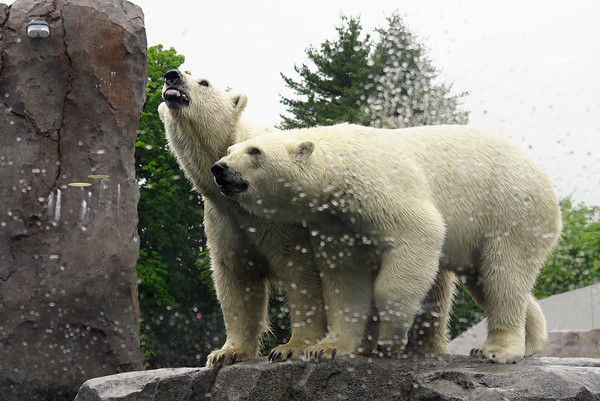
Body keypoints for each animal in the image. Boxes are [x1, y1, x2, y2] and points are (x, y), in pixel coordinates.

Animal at [157, 69, 328, 366]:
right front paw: (227, 352)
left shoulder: (286, 222)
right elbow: (236, 277)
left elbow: (302, 273)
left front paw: (290, 347)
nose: (172, 75)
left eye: (204, 82)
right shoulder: (224, 220)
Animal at [211, 122, 564, 362]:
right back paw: (531, 341)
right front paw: (328, 348)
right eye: (229, 151)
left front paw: (389, 339)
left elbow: (418, 235)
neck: (340, 165)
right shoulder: (334, 221)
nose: (219, 169)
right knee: (488, 280)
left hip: (510, 210)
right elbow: (344, 278)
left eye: (254, 152)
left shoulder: (380, 186)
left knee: (503, 273)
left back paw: (495, 350)